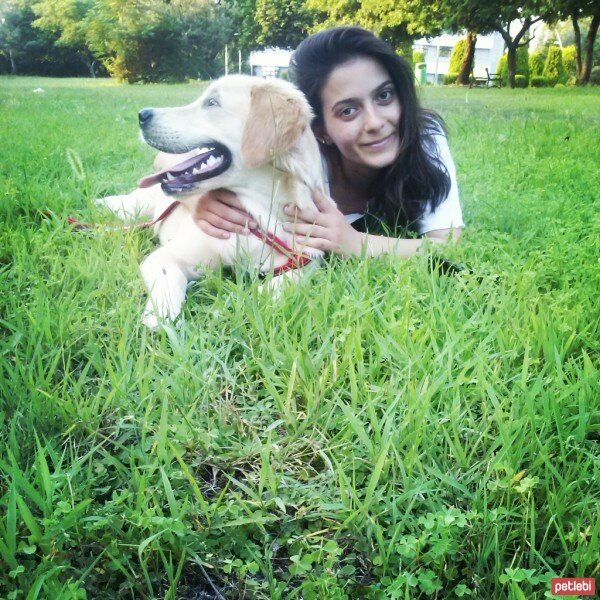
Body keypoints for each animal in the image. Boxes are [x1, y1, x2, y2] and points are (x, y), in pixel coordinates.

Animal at [96, 75, 326, 330]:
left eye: (212, 102)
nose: (142, 114)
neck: (257, 213)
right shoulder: (165, 256)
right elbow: (170, 278)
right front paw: (161, 316)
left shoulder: (308, 259)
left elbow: (289, 280)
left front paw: (257, 299)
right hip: (136, 209)